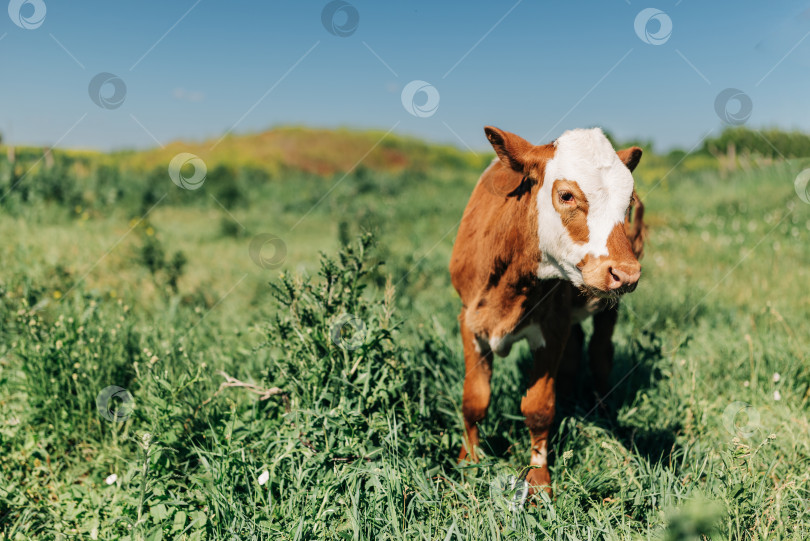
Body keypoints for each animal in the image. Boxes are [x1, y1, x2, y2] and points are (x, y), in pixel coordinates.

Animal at [446, 124, 640, 492]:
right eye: (566, 196)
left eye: (628, 203)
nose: (627, 273)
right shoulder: (468, 317)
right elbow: (474, 400)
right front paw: (469, 461)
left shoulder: (553, 325)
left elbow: (538, 408)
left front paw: (538, 478)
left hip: (608, 307)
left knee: (600, 352)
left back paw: (603, 410)